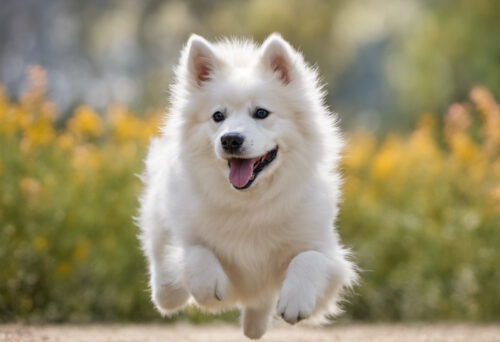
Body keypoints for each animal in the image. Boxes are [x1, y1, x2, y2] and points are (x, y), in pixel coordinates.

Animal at [137, 32, 356, 340]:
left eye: (261, 112)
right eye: (218, 116)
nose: (230, 139)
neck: (249, 202)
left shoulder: (332, 259)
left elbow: (309, 257)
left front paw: (295, 300)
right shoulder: (187, 235)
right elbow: (193, 251)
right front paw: (208, 286)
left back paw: (254, 326)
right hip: (159, 212)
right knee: (160, 260)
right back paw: (168, 294)